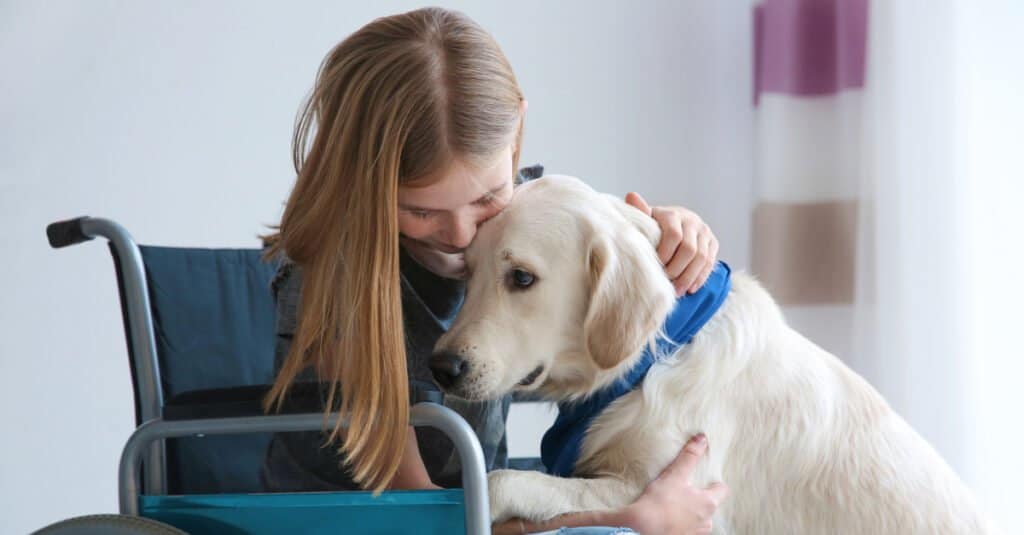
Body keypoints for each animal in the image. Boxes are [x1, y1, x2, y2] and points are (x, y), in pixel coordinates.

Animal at [428, 174, 995, 528]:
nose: (442, 366)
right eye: (468, 272)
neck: (649, 361)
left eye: (521, 277)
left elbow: (506, 480)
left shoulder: (656, 488)